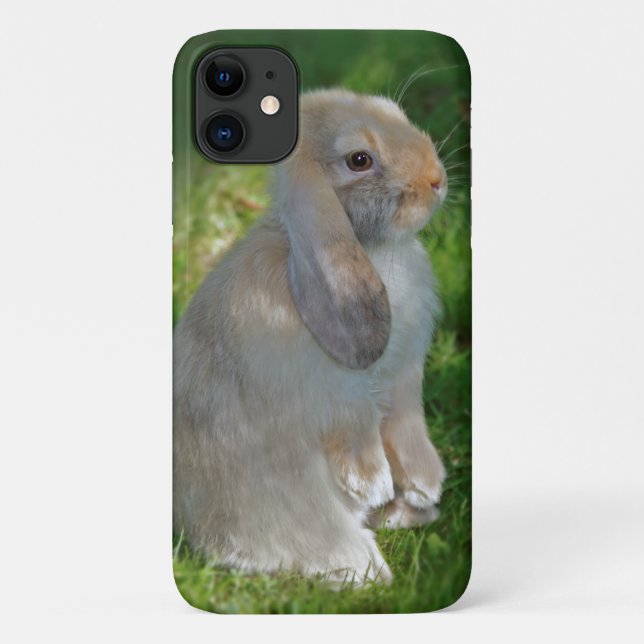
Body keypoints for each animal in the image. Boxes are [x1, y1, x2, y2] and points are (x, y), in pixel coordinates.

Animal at [173, 89, 447, 586]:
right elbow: (357, 427)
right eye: (359, 160)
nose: (436, 180)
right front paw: (373, 483)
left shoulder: (404, 376)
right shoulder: (336, 390)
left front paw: (424, 484)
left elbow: (404, 421)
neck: (373, 250)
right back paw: (366, 568)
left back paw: (408, 514)